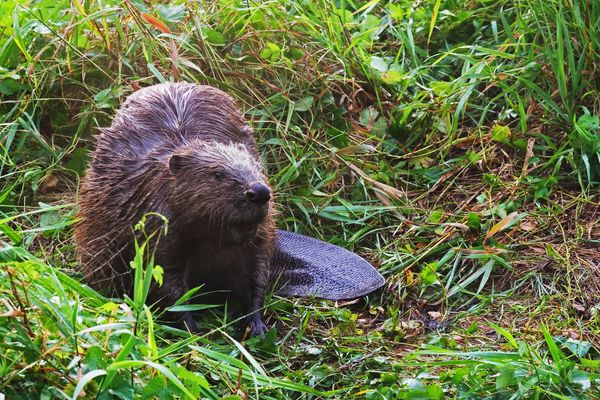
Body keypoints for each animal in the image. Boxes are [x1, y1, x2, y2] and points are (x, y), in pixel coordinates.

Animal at [76, 82, 278, 338]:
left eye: (256, 168)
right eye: (218, 174)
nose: (259, 192)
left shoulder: (259, 238)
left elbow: (256, 274)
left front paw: (257, 326)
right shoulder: (159, 226)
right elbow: (166, 280)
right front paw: (191, 330)